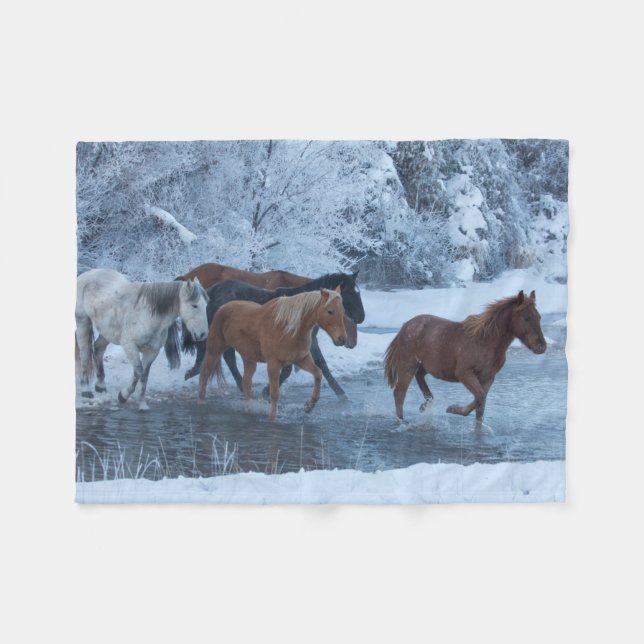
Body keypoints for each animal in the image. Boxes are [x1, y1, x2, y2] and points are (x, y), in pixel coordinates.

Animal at [76, 269, 209, 410]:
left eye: (206, 305)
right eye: (194, 306)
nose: (202, 334)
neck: (147, 315)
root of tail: (88, 274)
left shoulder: (152, 352)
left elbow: (144, 376)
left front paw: (142, 404)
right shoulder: (130, 347)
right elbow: (138, 372)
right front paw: (123, 396)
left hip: (107, 331)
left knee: (98, 348)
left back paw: (100, 385)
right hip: (82, 322)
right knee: (84, 353)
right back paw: (86, 389)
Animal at [176, 262, 365, 398]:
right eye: (349, 293)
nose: (361, 317)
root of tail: (211, 292)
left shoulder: (310, 343)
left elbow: (322, 365)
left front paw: (342, 395)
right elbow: (288, 370)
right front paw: (267, 390)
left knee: (225, 356)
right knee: (224, 356)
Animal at [198, 288, 347, 419]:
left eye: (343, 310)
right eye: (330, 311)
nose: (342, 339)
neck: (288, 328)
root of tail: (222, 307)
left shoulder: (301, 359)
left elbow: (318, 374)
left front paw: (308, 407)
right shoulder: (273, 364)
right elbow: (274, 393)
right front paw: (273, 417)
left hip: (249, 358)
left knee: (246, 382)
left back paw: (249, 407)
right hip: (214, 350)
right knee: (204, 374)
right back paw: (201, 402)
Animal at [383, 290, 547, 422]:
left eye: (539, 317)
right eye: (526, 318)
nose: (541, 347)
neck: (486, 342)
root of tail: (404, 326)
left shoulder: (488, 377)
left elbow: (481, 406)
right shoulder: (464, 373)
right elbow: (480, 397)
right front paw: (453, 409)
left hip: (426, 365)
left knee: (419, 378)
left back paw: (426, 404)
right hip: (408, 364)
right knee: (400, 392)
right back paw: (402, 420)